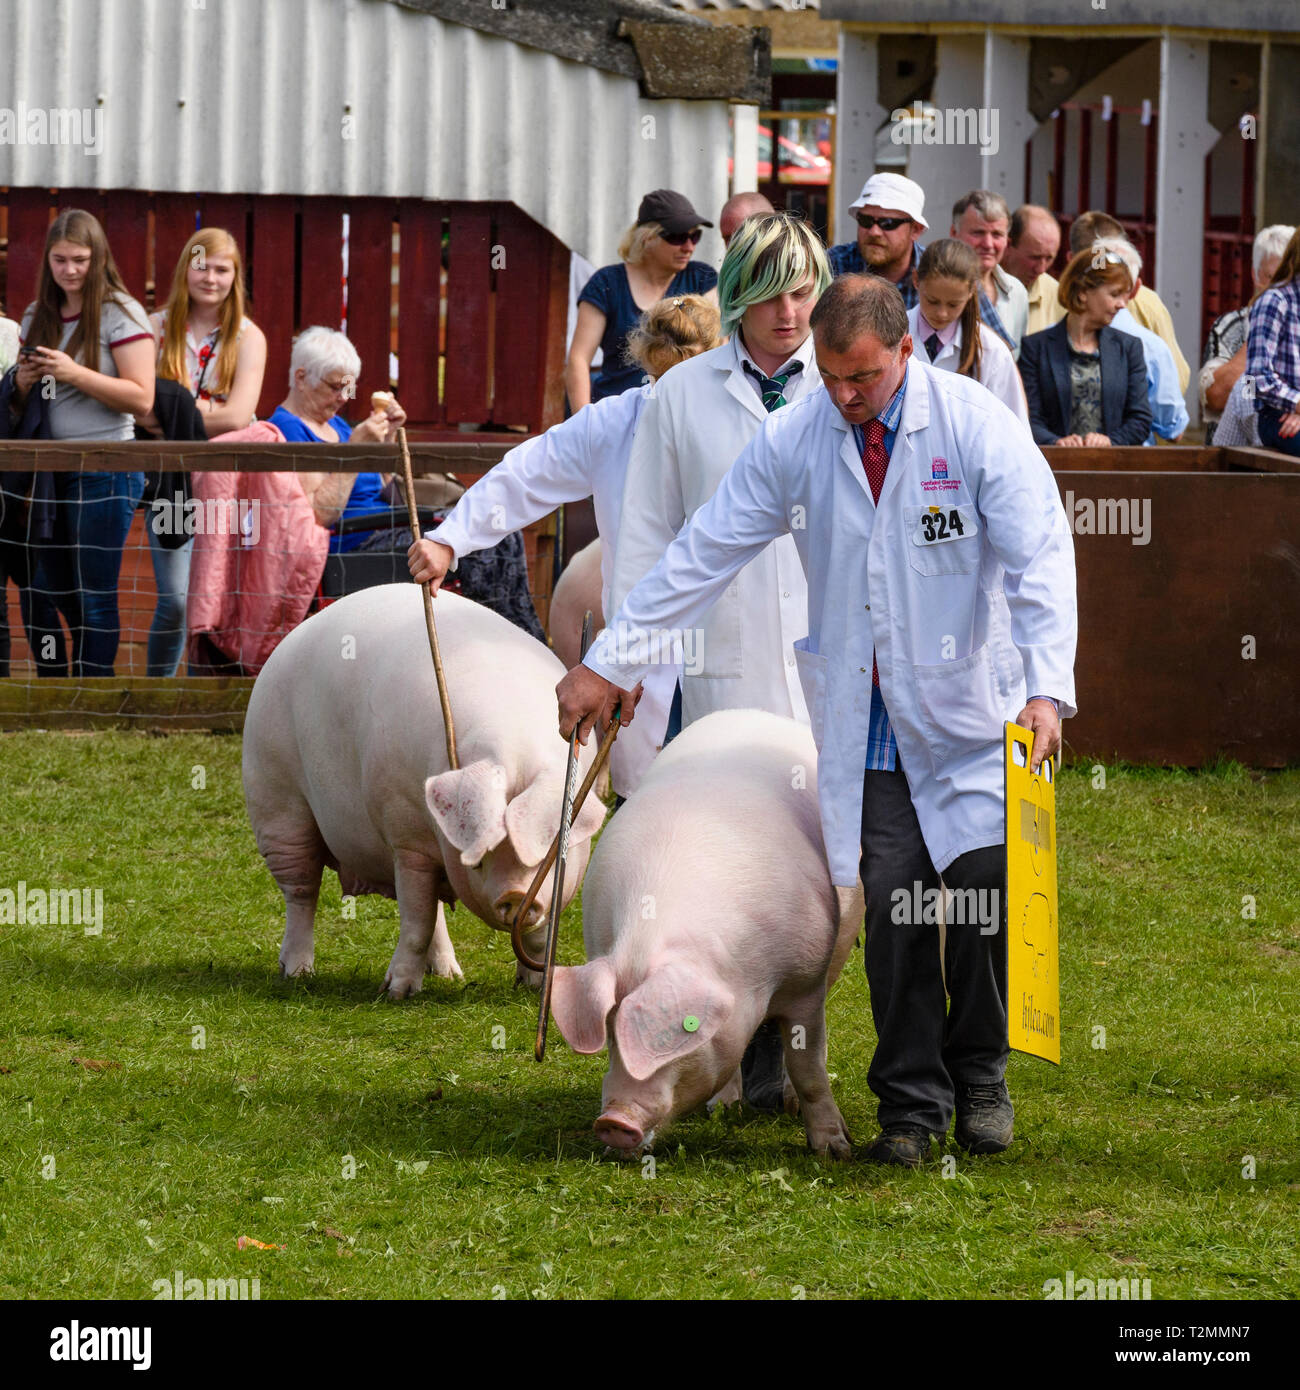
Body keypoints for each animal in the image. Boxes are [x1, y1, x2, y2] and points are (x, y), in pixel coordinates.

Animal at [241, 581, 606, 995]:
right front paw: (395, 993)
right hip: (275, 800)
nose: (516, 897)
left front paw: (534, 987)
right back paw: (297, 973)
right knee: (302, 891)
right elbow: (415, 923)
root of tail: (287, 643)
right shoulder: (406, 838)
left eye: (549, 858)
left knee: (432, 910)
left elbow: (537, 937)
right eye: (478, 861)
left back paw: (449, 975)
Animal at [547, 711, 862, 1156]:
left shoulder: (806, 982)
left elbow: (808, 1066)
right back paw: (724, 1108)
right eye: (610, 1031)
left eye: (683, 1031)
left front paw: (835, 1152)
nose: (612, 1123)